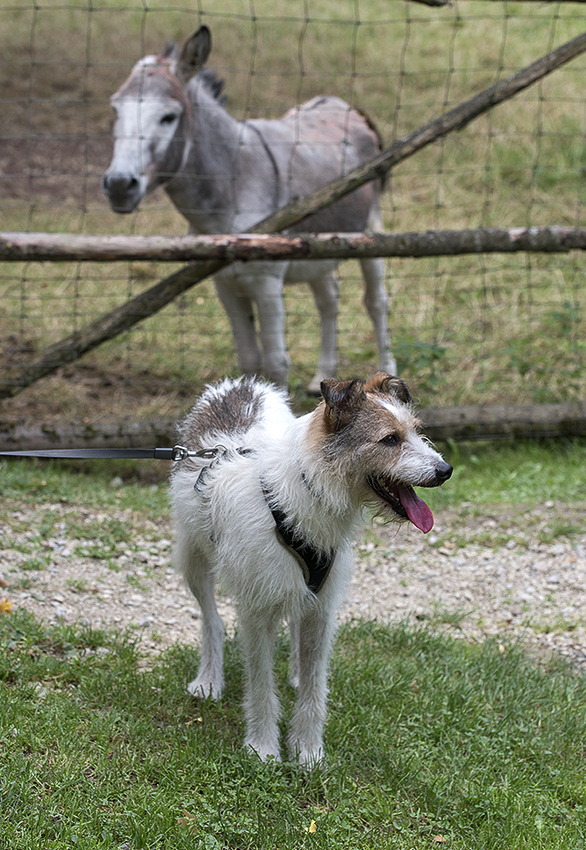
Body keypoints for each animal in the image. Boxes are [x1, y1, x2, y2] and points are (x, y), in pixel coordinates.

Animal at [170, 372, 452, 760]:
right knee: (212, 619)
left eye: (414, 431)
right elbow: (261, 685)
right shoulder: (256, 610)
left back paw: (294, 673)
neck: (305, 492)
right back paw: (209, 680)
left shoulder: (322, 609)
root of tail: (238, 385)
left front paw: (307, 751)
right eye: (390, 439)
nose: (445, 470)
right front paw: (263, 748)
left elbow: (314, 686)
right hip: (193, 561)